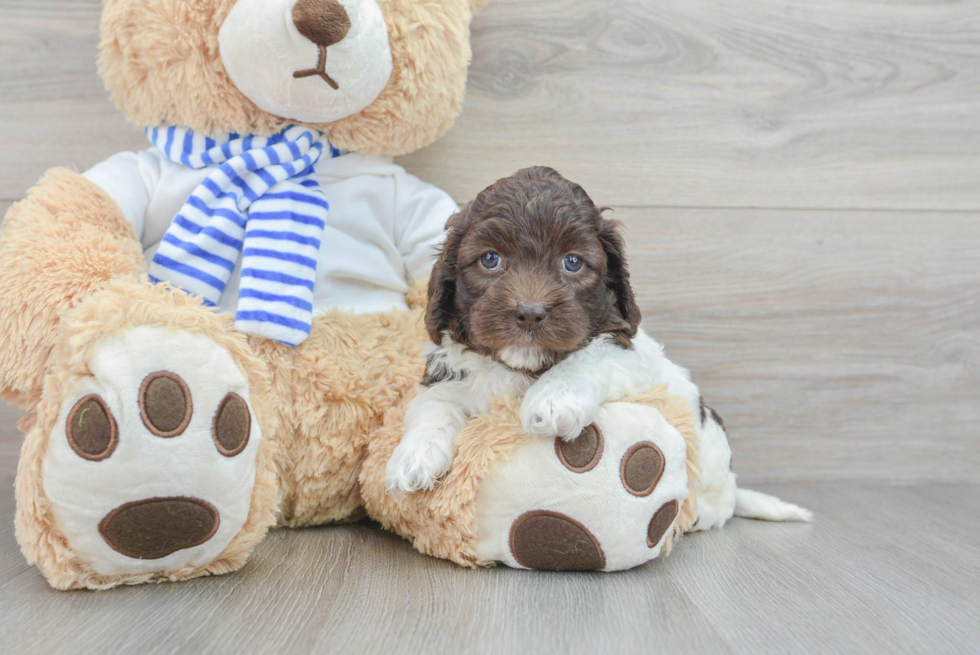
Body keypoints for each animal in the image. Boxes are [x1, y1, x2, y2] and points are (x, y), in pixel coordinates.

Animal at [386, 167, 816, 532]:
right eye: (490, 259)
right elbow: (434, 407)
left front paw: (553, 399)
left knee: (720, 507)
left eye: (573, 262)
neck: (520, 369)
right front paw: (412, 458)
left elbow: (590, 356)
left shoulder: (630, 351)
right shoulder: (449, 374)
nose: (530, 313)